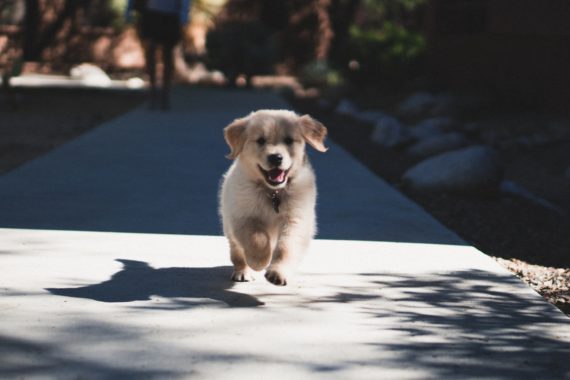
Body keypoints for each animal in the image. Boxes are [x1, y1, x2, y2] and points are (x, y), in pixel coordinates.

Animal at [217, 109, 326, 284]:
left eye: (289, 140)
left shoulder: (296, 219)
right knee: (237, 252)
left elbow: (286, 247)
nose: (276, 157)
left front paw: (278, 272)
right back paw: (243, 271)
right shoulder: (242, 216)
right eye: (260, 141)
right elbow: (257, 238)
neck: (273, 192)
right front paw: (260, 261)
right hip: (229, 226)